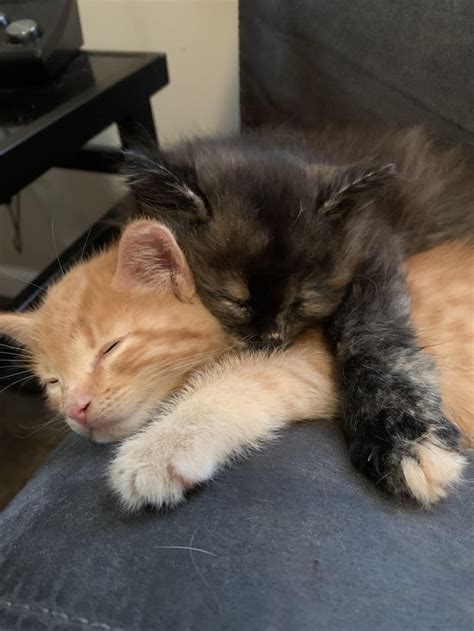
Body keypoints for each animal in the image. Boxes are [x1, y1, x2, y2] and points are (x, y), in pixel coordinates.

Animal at [0, 220, 470, 512]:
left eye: (110, 348)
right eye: (53, 382)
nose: (74, 408)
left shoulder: (311, 357)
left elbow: (241, 380)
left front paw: (161, 448)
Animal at [123, 127, 474, 504]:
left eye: (302, 301)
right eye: (235, 301)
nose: (271, 340)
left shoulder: (374, 246)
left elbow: (373, 334)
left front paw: (400, 435)